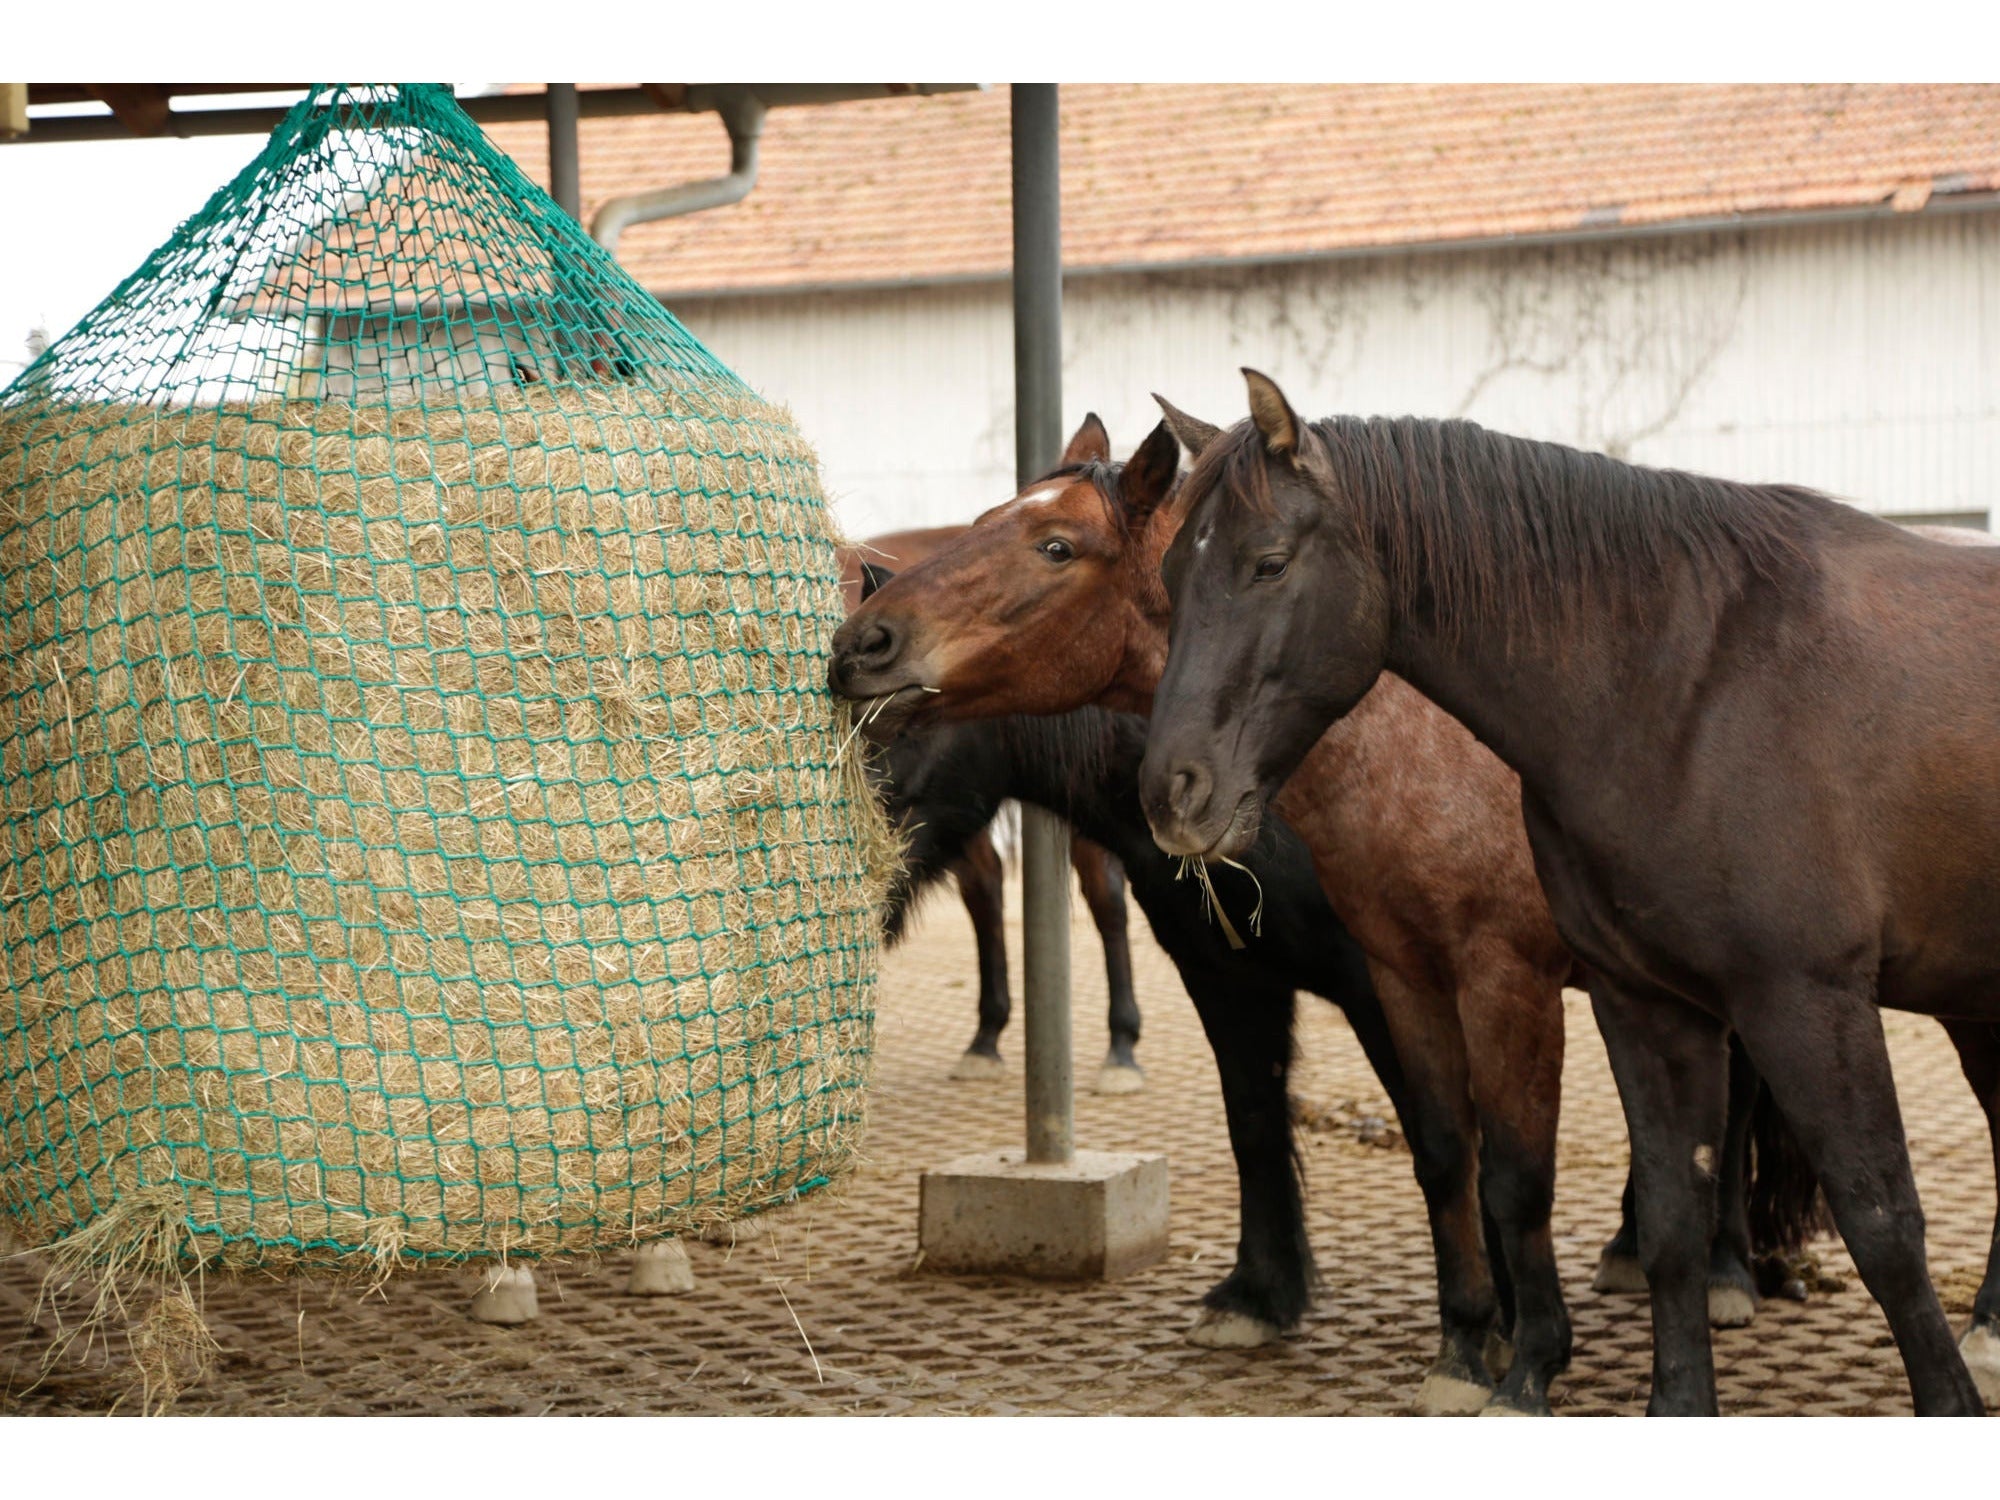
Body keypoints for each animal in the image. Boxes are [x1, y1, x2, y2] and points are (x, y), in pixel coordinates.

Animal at [1134, 369, 2000, 1416]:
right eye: (1168, 576)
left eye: (1267, 564)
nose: (1171, 793)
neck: (1689, 689)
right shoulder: (1647, 1004)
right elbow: (1668, 1221)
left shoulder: (1805, 1001)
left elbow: (1881, 1223)